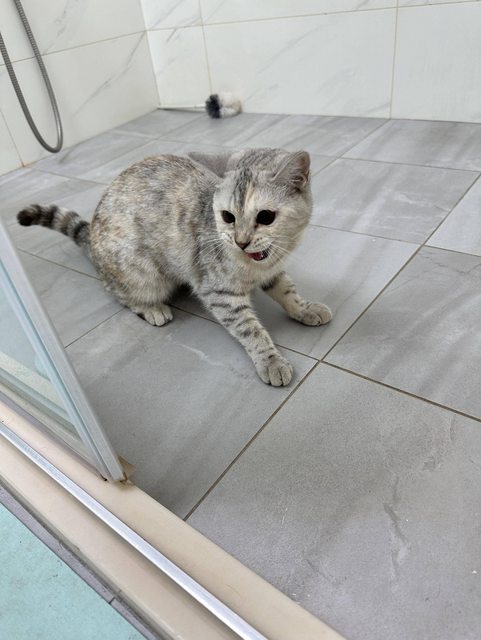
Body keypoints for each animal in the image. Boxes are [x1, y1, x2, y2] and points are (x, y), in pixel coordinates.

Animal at [17, 148, 332, 386]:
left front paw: (306, 309)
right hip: (141, 274)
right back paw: (152, 308)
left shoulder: (272, 270)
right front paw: (270, 360)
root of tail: (92, 236)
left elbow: (288, 291)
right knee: (118, 293)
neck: (258, 262)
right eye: (227, 217)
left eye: (266, 217)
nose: (241, 241)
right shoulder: (219, 292)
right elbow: (249, 329)